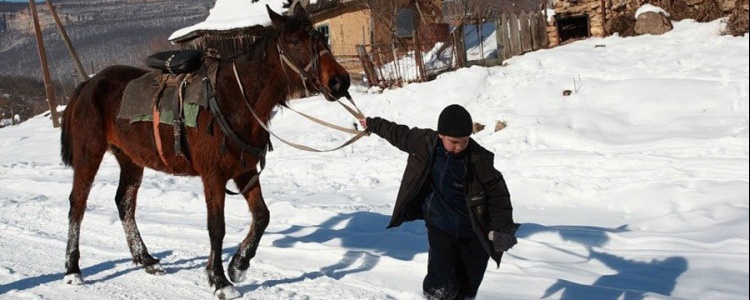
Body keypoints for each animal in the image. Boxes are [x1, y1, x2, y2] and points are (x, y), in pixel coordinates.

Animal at [60, 3, 352, 298]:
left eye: (320, 37)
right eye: (295, 42)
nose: (340, 82)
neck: (233, 100)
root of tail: (87, 85)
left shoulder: (245, 171)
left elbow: (262, 216)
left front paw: (238, 264)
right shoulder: (213, 176)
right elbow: (216, 228)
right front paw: (220, 280)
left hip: (131, 159)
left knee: (124, 203)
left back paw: (145, 259)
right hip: (89, 154)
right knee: (77, 204)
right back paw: (73, 269)